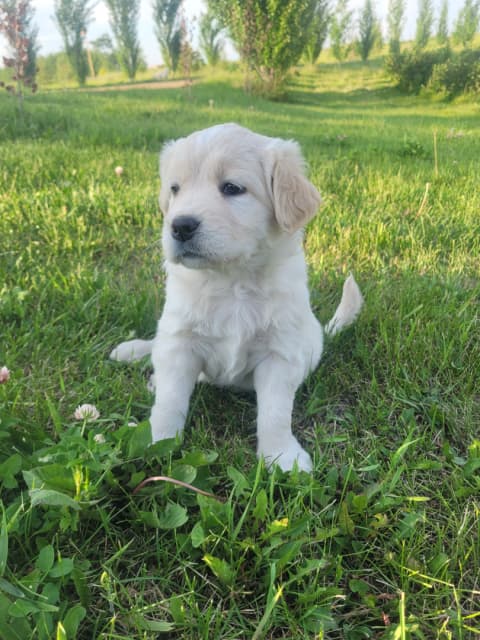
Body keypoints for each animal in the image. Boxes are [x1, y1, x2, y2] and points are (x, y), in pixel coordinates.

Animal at [110, 123, 363, 472]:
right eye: (175, 189)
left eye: (231, 188)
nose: (180, 226)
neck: (231, 280)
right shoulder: (179, 341)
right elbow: (170, 400)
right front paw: (156, 439)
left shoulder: (279, 353)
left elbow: (274, 413)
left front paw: (281, 456)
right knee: (157, 348)